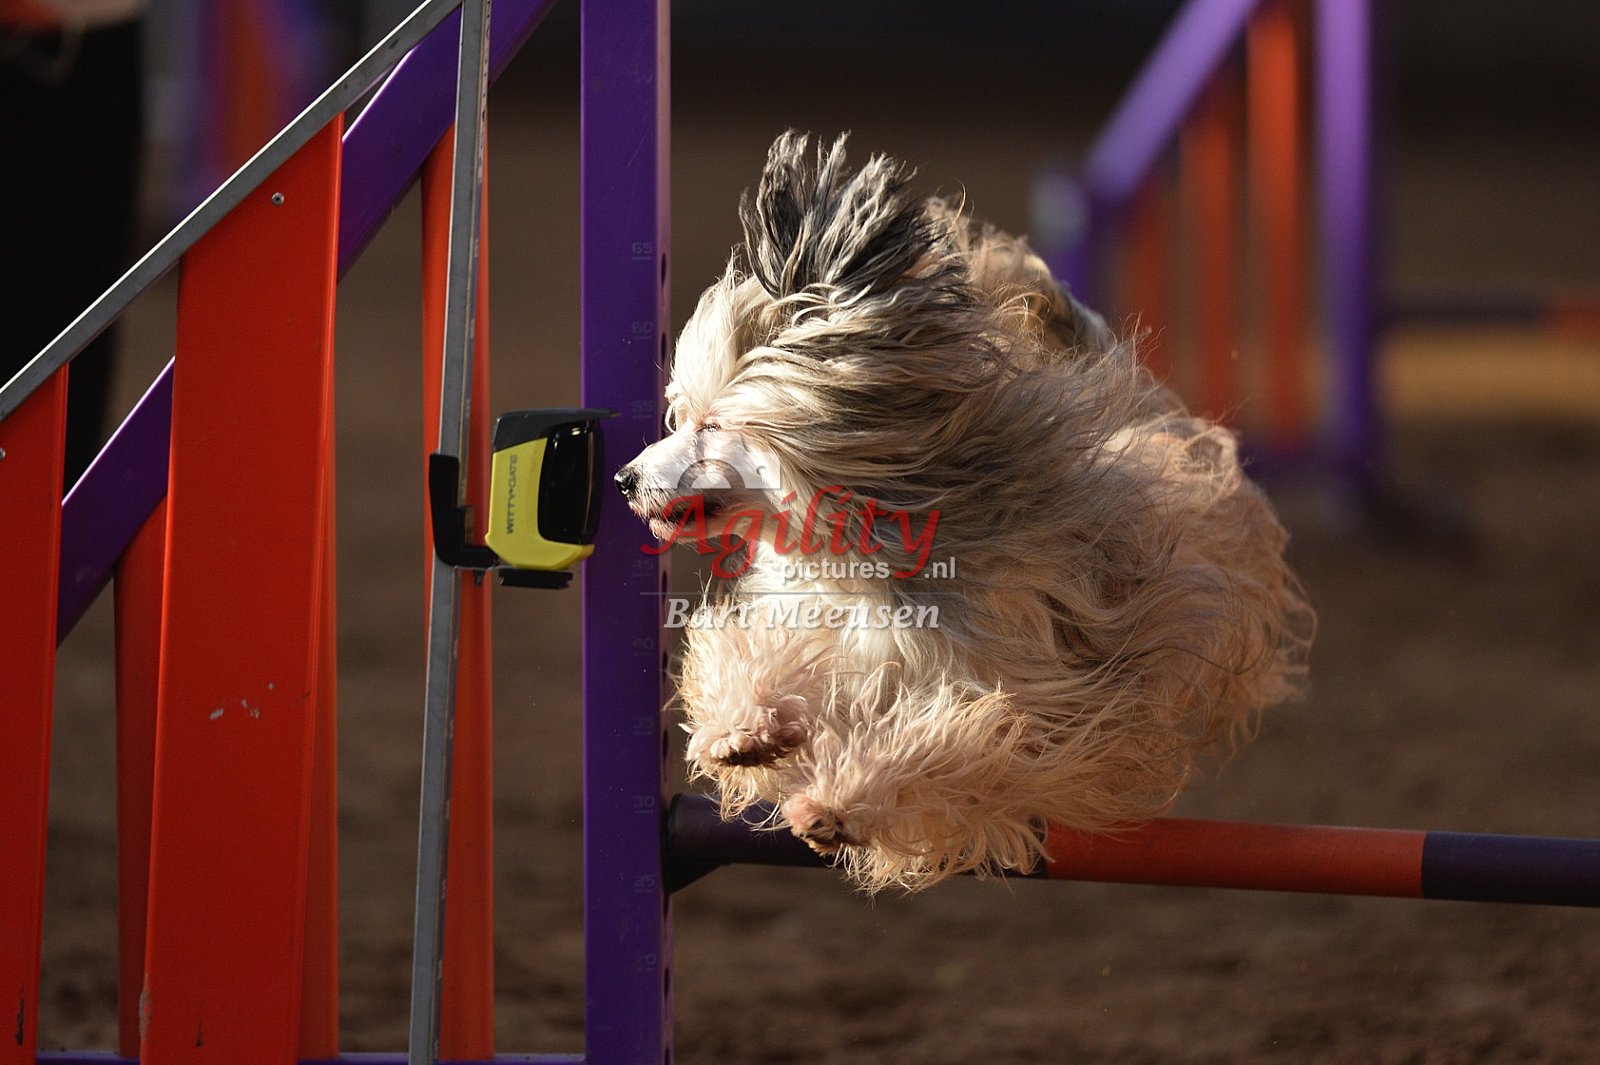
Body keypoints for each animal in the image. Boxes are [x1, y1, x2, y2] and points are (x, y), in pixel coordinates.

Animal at [616, 132, 1314, 892]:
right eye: (681, 413)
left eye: (712, 425)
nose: (623, 479)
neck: (860, 555)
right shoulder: (826, 627)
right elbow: (756, 657)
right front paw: (746, 728)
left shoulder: (1048, 703)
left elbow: (962, 745)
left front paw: (840, 801)